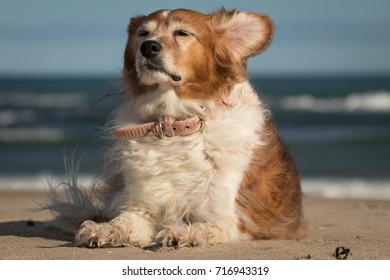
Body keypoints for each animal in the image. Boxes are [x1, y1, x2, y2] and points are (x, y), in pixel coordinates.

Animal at [48, 8, 304, 248]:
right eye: (143, 33)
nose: (148, 47)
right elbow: (124, 221)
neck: (174, 122)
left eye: (182, 33)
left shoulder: (224, 217)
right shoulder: (141, 207)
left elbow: (204, 227)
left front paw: (182, 233)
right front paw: (104, 230)